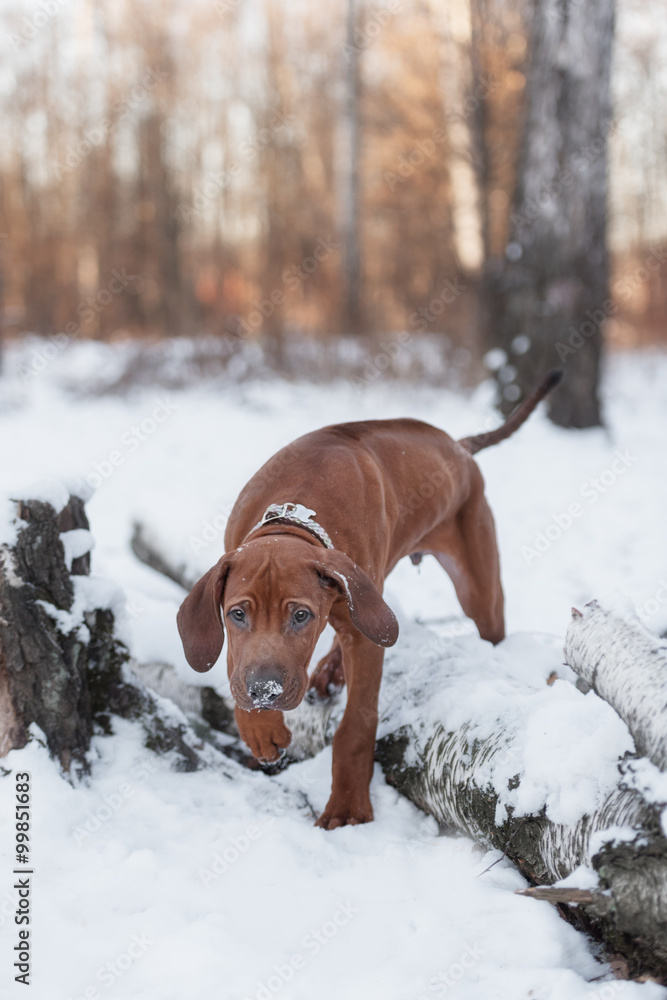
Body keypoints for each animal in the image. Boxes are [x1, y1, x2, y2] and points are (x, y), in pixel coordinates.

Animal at [179, 372, 564, 824]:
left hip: (474, 589)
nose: (266, 693)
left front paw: (347, 808)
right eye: (237, 614)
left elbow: (355, 728)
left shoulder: (365, 634)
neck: (296, 517)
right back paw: (328, 669)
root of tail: (458, 447)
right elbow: (236, 666)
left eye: (301, 616)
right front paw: (260, 727)